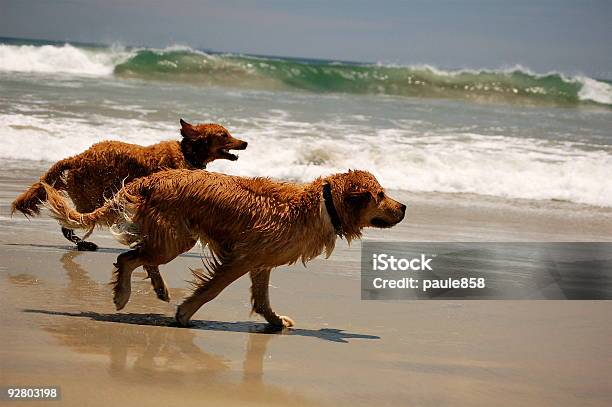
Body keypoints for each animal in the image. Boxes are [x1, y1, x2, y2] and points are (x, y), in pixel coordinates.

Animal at [11, 118, 247, 252]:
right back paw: (84, 244)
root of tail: (76, 158)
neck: (188, 154)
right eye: (224, 135)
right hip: (91, 199)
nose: (245, 143)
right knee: (71, 224)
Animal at [43, 170, 406, 328]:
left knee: (142, 256)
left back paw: (159, 288)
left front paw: (274, 320)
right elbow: (211, 290)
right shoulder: (241, 258)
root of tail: (151, 178)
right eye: (380, 195)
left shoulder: (261, 261)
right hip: (175, 238)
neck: (321, 205)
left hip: (174, 237)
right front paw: (185, 313)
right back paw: (122, 294)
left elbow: (262, 298)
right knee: (128, 257)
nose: (404, 207)